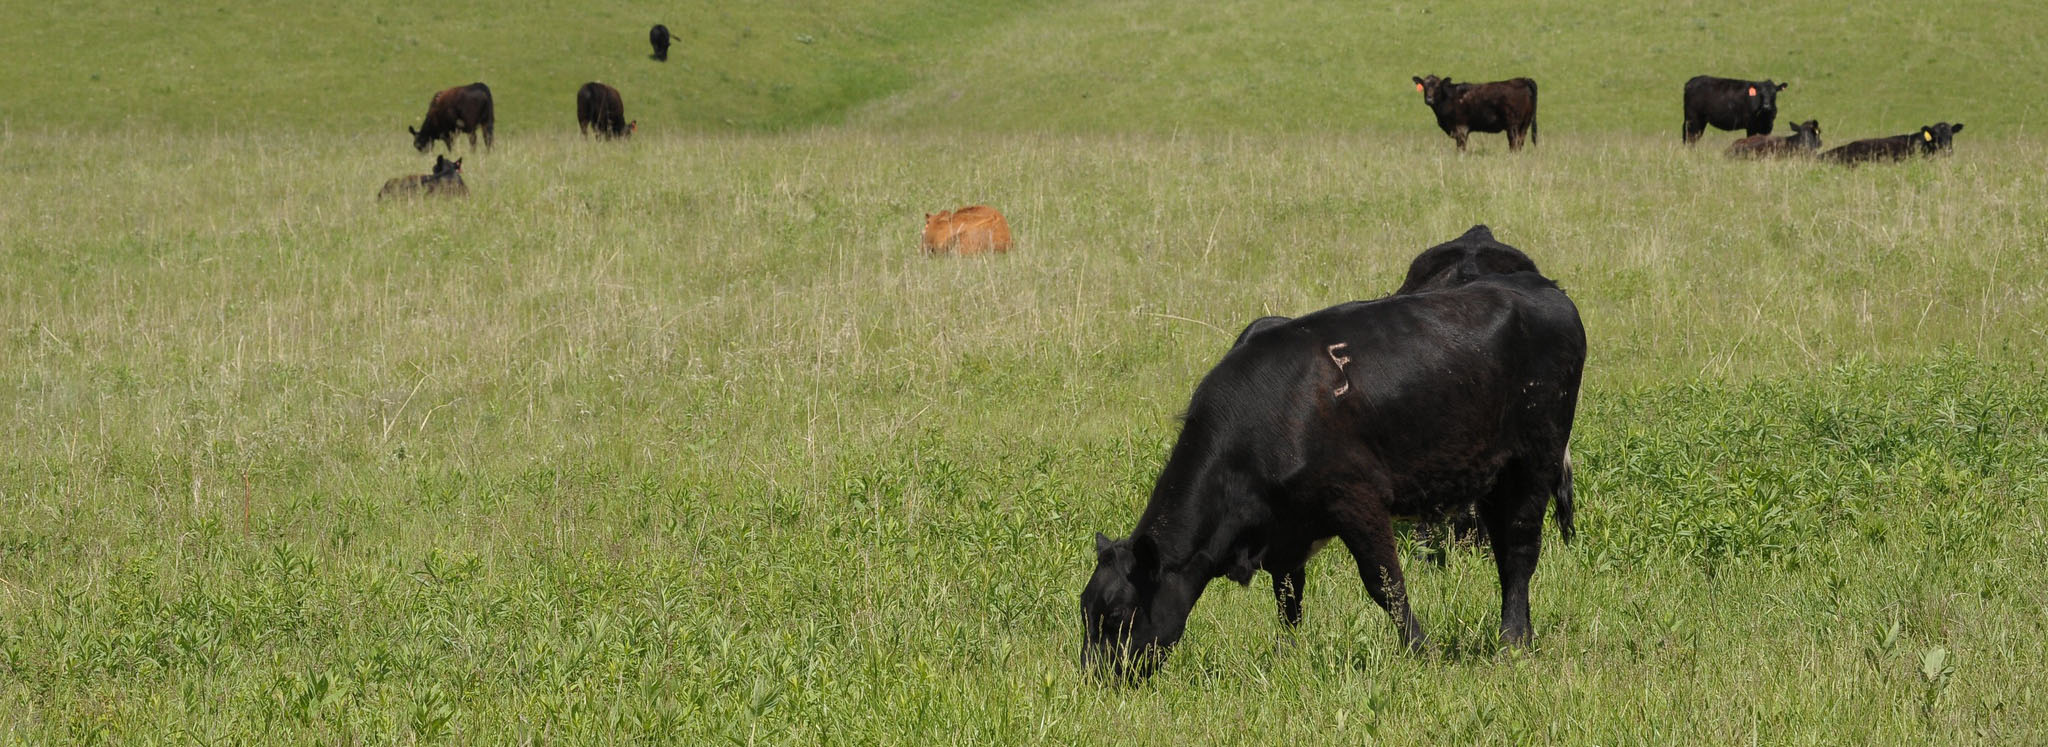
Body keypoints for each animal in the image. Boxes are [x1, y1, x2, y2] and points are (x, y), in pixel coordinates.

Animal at [1081, 223, 1589, 679]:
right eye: (1087, 610)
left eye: (1118, 615)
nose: (1096, 678)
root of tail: (1546, 289)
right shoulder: (1285, 530)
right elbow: (1289, 599)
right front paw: (1287, 658)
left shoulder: (1356, 498)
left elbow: (1386, 585)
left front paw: (1421, 652)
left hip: (1535, 459)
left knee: (1518, 553)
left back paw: (1513, 642)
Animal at [1409, 75, 1540, 151]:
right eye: (1424, 86)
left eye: (1437, 87)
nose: (1429, 99)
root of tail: (1522, 79)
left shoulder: (1461, 128)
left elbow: (1461, 148)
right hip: (1525, 123)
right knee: (1520, 143)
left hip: (1513, 125)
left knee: (1514, 143)